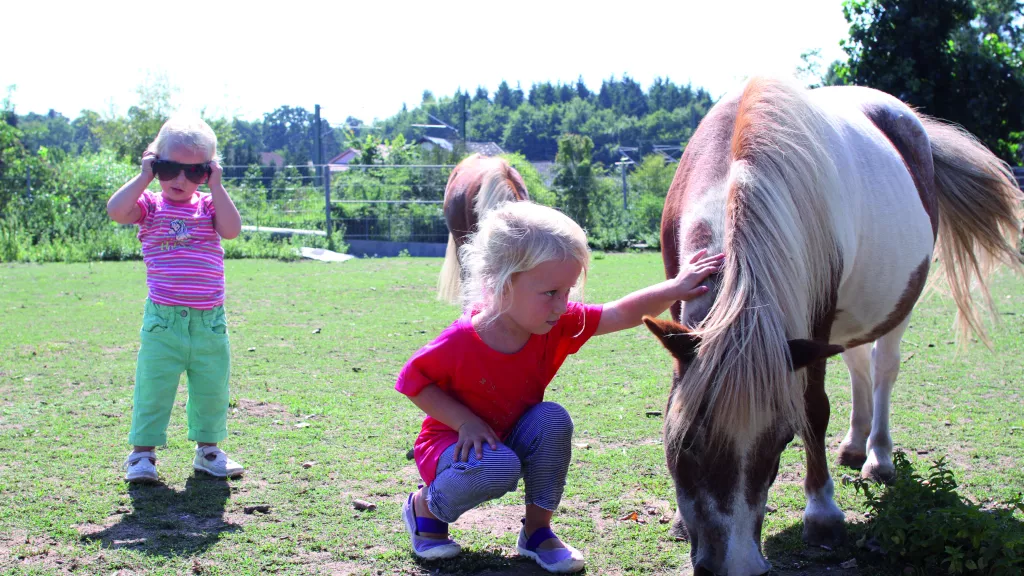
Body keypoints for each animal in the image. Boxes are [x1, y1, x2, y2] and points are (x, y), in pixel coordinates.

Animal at [643, 77, 1019, 573]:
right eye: (684, 441)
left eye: (782, 442)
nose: (738, 565)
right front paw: (682, 521)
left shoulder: (815, 320)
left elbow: (814, 408)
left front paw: (822, 513)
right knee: (858, 363)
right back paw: (855, 443)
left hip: (899, 303)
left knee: (882, 369)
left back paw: (878, 456)